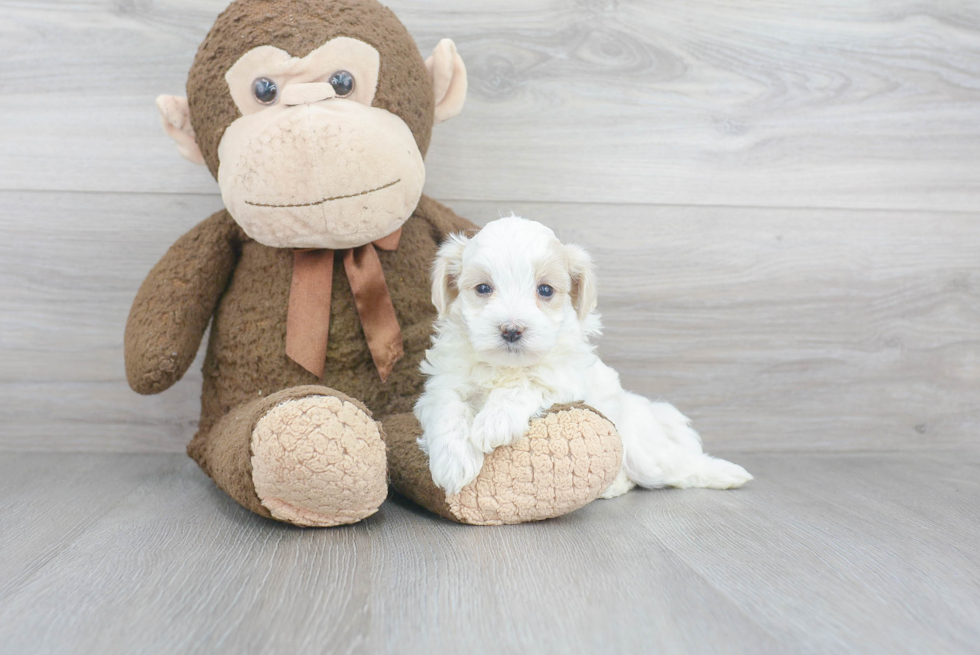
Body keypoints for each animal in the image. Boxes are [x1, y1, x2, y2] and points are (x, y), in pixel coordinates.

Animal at [412, 217, 752, 498]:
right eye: (483, 288)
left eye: (545, 290)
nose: (511, 330)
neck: (507, 366)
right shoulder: (442, 384)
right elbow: (447, 409)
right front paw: (452, 463)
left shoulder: (565, 377)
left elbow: (527, 384)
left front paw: (495, 422)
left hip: (646, 454)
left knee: (677, 466)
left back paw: (727, 473)